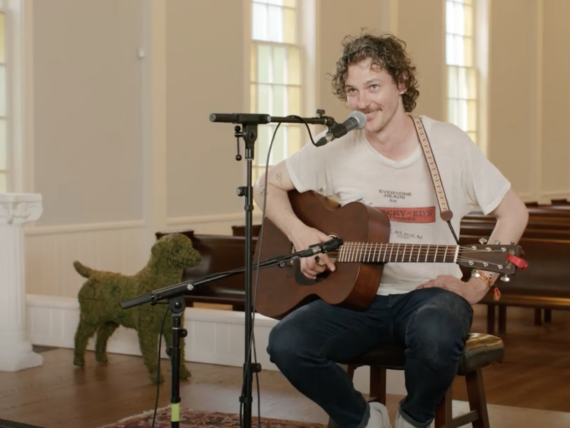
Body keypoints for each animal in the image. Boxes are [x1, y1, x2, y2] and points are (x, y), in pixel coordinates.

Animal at [71, 232, 200, 382]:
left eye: (190, 245)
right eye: (177, 250)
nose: (198, 257)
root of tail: (93, 274)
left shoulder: (171, 327)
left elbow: (180, 353)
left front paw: (183, 373)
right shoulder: (147, 329)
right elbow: (150, 352)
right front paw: (155, 376)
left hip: (111, 320)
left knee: (101, 335)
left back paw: (101, 358)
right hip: (90, 318)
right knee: (80, 335)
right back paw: (78, 361)